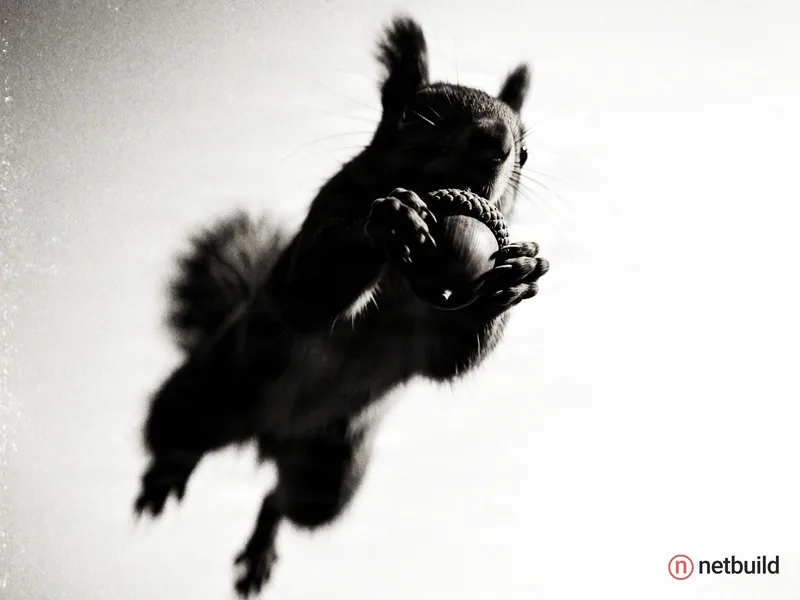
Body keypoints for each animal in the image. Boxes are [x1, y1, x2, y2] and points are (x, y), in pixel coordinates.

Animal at [133, 15, 549, 598]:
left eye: (527, 154)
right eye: (413, 115)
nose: (497, 143)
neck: (400, 278)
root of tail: (265, 437)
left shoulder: (431, 339)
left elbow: (450, 357)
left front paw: (517, 276)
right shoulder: (320, 229)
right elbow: (311, 285)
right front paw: (390, 219)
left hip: (329, 472)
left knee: (280, 499)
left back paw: (260, 547)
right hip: (210, 389)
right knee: (177, 437)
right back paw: (164, 475)